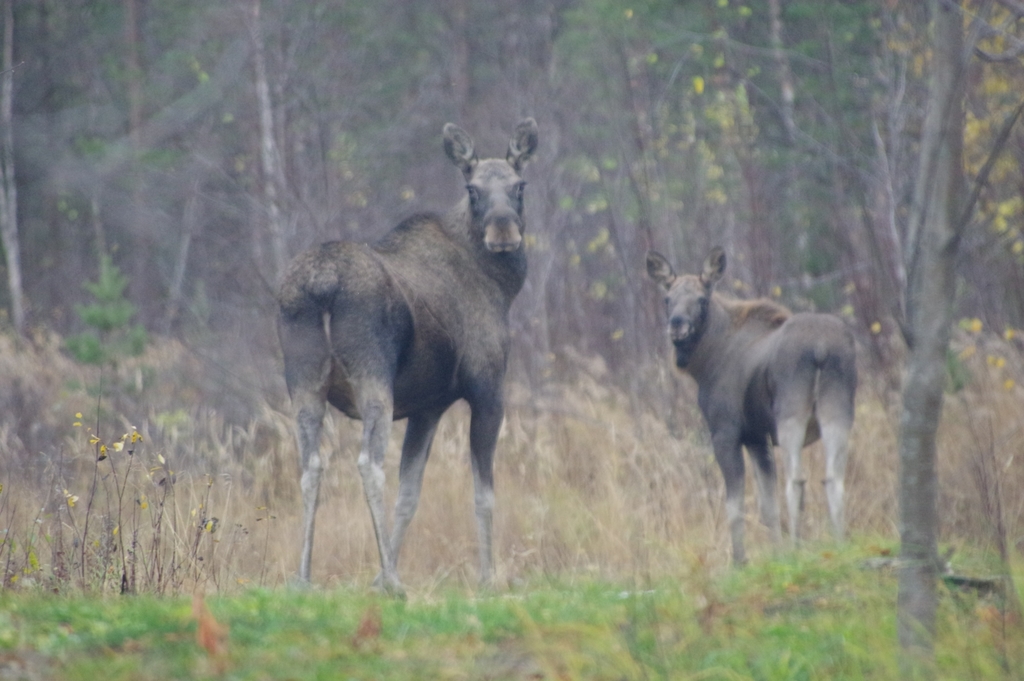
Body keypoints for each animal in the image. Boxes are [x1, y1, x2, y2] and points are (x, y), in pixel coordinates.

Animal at [277, 119, 539, 593]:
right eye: (472, 189)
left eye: (519, 185)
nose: (503, 233)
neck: (502, 286)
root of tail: (322, 284)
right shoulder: (487, 390)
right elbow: (484, 494)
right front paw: (487, 577)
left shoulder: (427, 407)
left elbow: (410, 493)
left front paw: (378, 576)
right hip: (372, 373)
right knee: (368, 463)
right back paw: (395, 583)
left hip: (303, 378)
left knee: (311, 465)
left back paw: (303, 578)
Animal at [646, 247, 856, 565]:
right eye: (667, 298)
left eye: (702, 299)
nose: (677, 325)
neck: (704, 363)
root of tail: (821, 349)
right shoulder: (758, 438)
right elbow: (767, 506)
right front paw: (777, 554)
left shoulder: (726, 433)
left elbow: (735, 506)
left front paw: (740, 562)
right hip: (838, 409)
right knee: (833, 478)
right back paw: (839, 542)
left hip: (791, 412)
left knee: (797, 480)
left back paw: (798, 548)